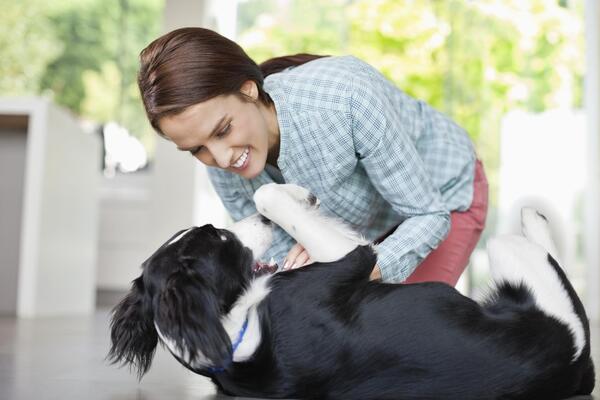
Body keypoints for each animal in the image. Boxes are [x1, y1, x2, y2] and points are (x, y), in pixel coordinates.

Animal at [108, 183, 596, 398]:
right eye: (220, 237)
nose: (260, 224)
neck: (237, 335)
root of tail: (579, 368)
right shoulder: (354, 257)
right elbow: (273, 196)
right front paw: (292, 196)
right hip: (519, 266)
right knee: (539, 249)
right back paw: (536, 213)